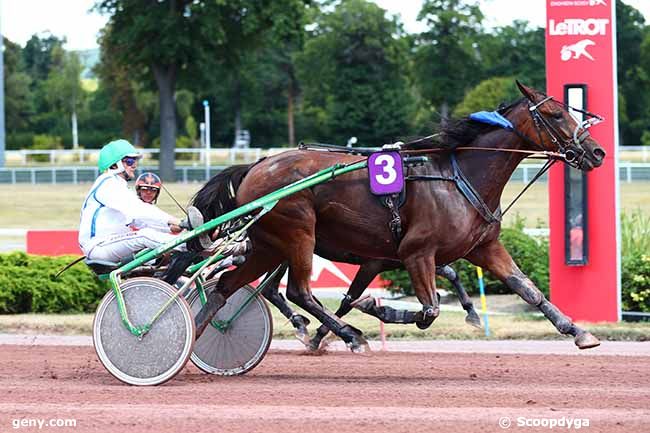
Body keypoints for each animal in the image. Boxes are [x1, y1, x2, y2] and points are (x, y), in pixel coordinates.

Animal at [192, 82, 604, 352]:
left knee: (228, 288)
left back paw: (195, 333)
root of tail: (255, 167)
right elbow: (428, 309)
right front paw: (373, 307)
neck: (457, 176)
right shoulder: (415, 253)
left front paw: (577, 331)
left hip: (269, 244)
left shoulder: (484, 247)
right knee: (296, 291)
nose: (597, 152)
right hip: (298, 234)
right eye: (555, 114)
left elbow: (528, 289)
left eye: (570, 111)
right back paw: (349, 334)